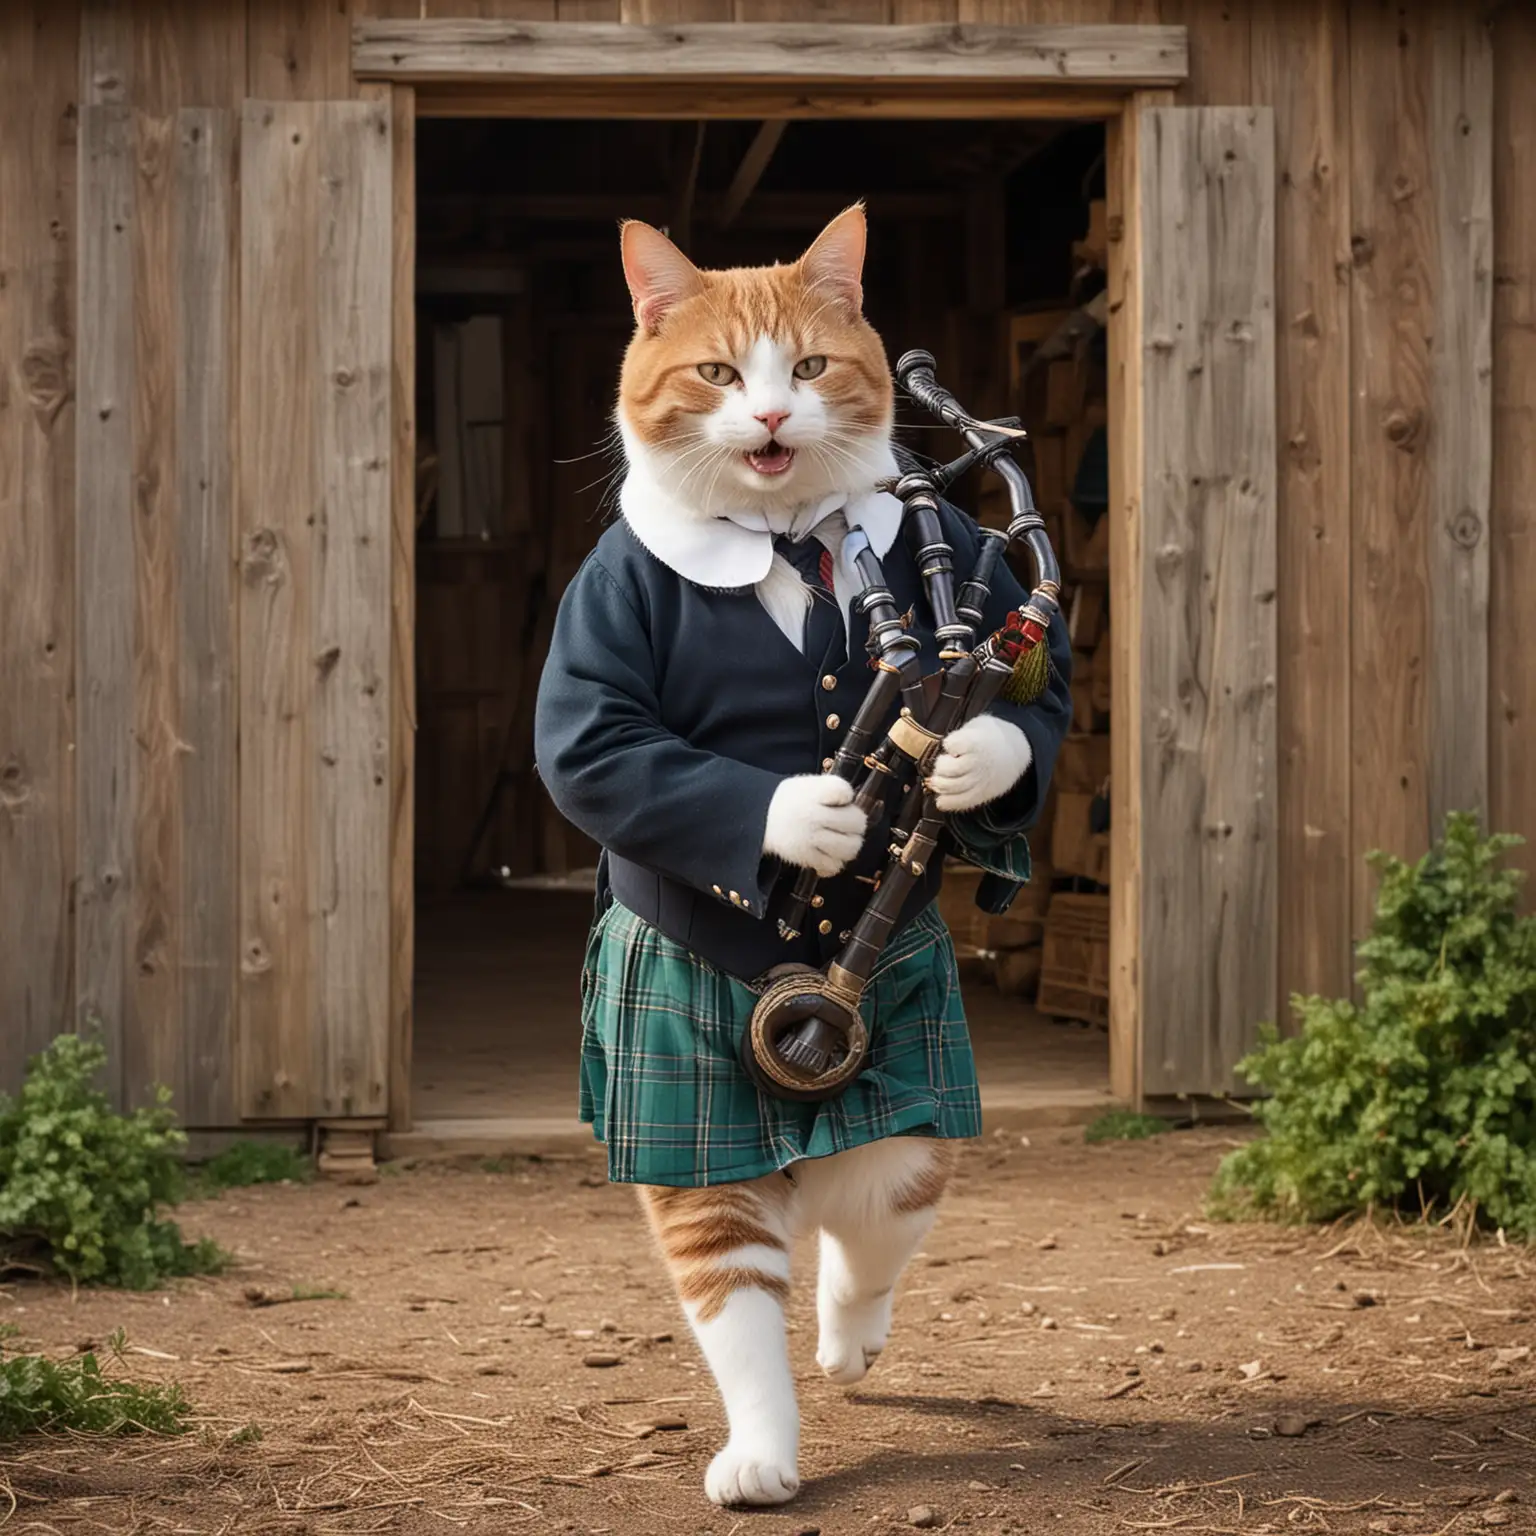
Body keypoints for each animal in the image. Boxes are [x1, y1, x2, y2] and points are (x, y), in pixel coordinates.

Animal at [534, 201, 1075, 1499]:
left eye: (815, 367)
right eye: (721, 375)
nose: (776, 417)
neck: (784, 535)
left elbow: (1031, 706)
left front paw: (975, 757)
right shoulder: (600, 640)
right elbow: (605, 747)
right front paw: (812, 816)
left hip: (905, 1108)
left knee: (868, 1199)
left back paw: (846, 1339)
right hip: (692, 1116)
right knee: (742, 1250)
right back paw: (768, 1436)